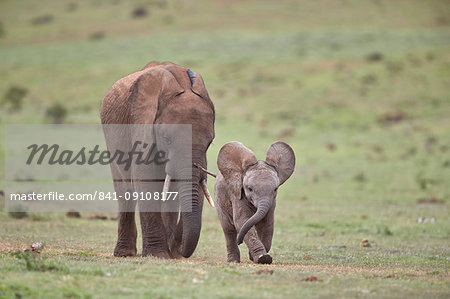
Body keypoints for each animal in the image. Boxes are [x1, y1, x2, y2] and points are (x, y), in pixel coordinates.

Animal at [102, 62, 214, 258]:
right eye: (167, 139)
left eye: (210, 142)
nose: (179, 251)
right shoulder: (140, 125)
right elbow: (144, 179)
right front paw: (157, 255)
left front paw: (170, 253)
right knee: (124, 188)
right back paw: (125, 253)